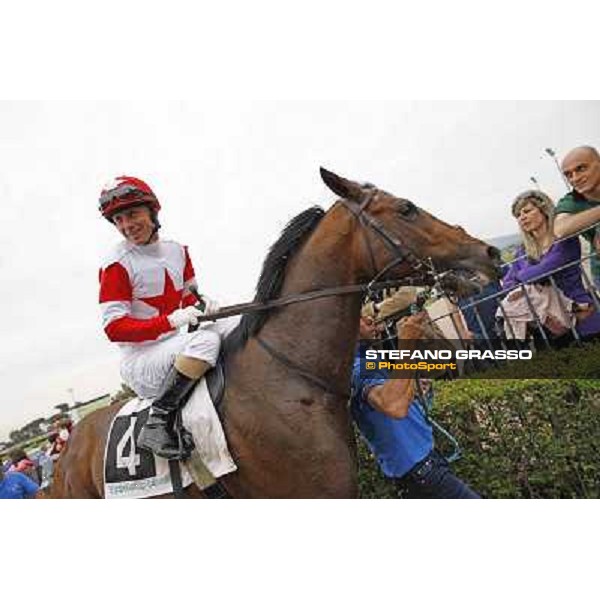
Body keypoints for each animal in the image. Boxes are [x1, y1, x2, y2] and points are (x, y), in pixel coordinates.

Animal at [51, 168, 500, 496]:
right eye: (406, 208)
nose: (489, 253)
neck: (289, 374)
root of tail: (67, 450)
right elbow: (117, 319)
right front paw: (185, 318)